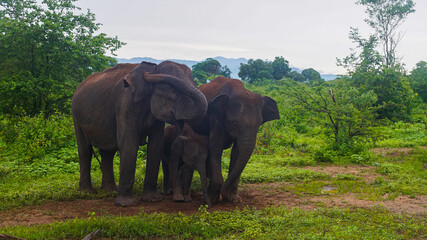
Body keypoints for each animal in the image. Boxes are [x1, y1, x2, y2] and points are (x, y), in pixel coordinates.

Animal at [72, 60, 209, 206]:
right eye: (171, 90)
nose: (148, 73)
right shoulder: (125, 106)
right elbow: (129, 144)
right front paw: (126, 204)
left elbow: (155, 146)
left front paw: (153, 199)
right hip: (76, 115)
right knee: (85, 150)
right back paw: (87, 193)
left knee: (107, 152)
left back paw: (110, 191)